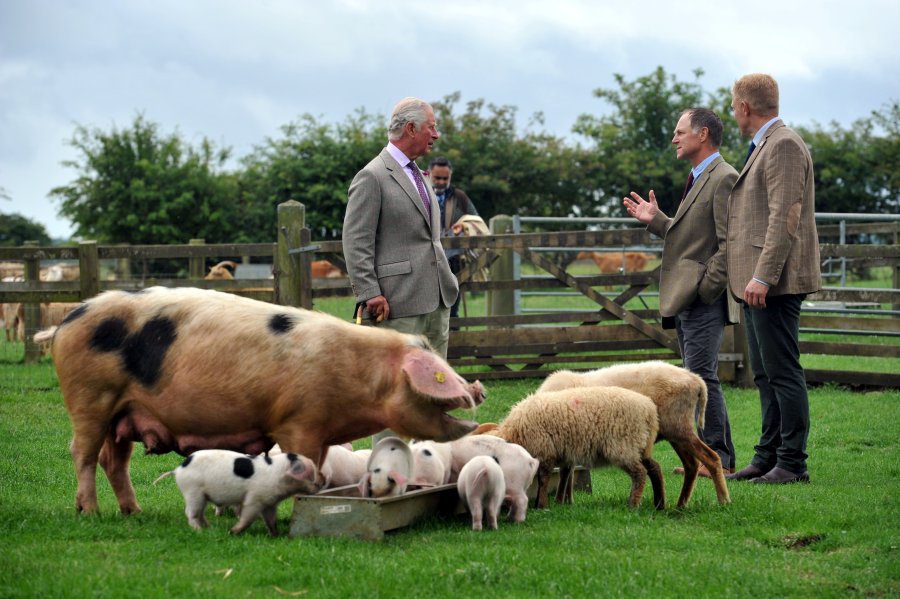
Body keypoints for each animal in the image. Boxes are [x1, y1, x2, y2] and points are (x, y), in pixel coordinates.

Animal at [45, 288, 486, 512]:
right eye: (440, 373)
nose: (478, 389)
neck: (360, 377)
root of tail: (67, 319)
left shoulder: (320, 430)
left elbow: (320, 467)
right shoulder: (297, 421)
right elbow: (307, 464)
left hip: (125, 413)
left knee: (113, 460)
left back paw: (133, 513)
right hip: (89, 398)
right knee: (82, 453)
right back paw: (89, 512)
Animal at [155, 450, 320, 536]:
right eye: (310, 474)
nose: (320, 484)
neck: (278, 474)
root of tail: (178, 470)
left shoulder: (269, 503)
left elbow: (271, 519)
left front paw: (276, 535)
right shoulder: (255, 498)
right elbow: (247, 516)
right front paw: (232, 531)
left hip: (202, 496)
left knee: (200, 513)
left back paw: (209, 528)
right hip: (192, 491)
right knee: (191, 513)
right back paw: (199, 530)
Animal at [488, 386, 664, 508]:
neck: (515, 433)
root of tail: (649, 410)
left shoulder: (544, 451)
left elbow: (544, 479)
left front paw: (541, 505)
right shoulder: (563, 453)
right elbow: (564, 476)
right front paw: (559, 502)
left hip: (623, 446)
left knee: (640, 473)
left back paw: (633, 504)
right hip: (639, 445)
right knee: (655, 468)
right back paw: (659, 504)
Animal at [536, 364, 728, 508]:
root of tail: (695, 379)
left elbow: (566, 471)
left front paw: (560, 501)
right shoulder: (571, 442)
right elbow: (568, 471)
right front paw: (567, 501)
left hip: (678, 427)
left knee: (711, 458)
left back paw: (723, 500)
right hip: (676, 431)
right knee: (691, 465)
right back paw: (681, 504)